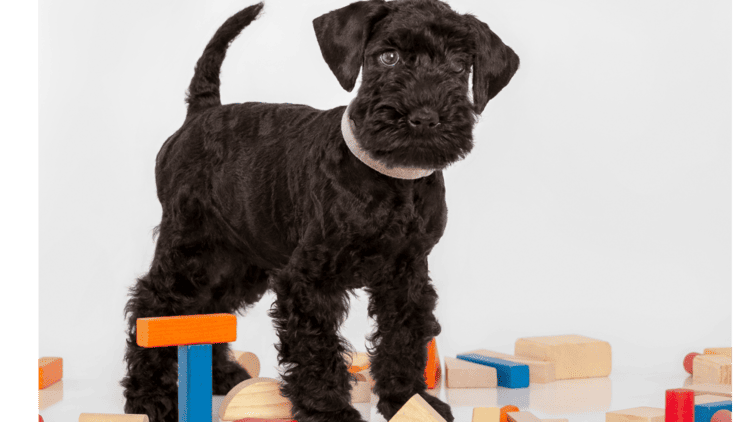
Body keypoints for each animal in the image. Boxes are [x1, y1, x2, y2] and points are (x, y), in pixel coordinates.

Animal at [123, 0, 520, 422]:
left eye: (459, 66)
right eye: (389, 57)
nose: (425, 117)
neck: (390, 179)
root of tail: (200, 113)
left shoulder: (407, 275)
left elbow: (403, 338)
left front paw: (409, 401)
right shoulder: (308, 279)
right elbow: (317, 348)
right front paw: (327, 409)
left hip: (237, 261)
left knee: (208, 310)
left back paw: (222, 375)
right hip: (189, 248)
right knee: (153, 304)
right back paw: (148, 396)